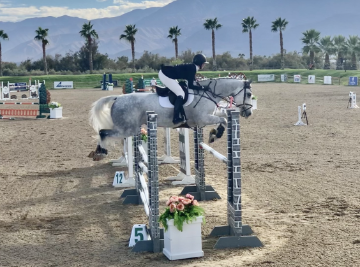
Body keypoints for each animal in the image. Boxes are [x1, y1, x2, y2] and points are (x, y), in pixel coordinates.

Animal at [89, 77, 253, 161]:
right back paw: (101, 152)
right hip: (127, 129)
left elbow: (224, 116)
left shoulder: (210, 115)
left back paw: (98, 152)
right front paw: (215, 134)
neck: (207, 93)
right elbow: (223, 120)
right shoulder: (203, 119)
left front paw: (214, 134)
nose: (249, 113)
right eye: (249, 94)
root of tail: (117, 98)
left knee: (104, 132)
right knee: (103, 132)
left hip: (127, 128)